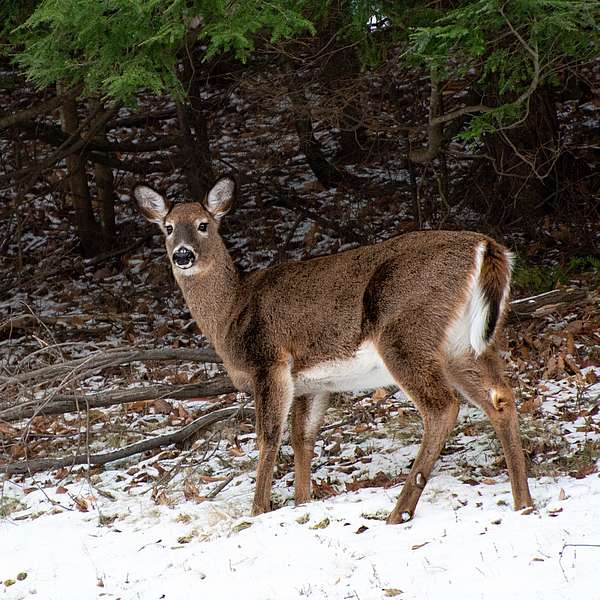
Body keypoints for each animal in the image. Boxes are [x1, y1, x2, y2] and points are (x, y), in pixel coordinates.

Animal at [132, 176, 536, 524]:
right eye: (168, 227)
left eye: (203, 225)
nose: (183, 255)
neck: (232, 313)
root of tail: (487, 247)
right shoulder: (311, 383)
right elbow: (303, 438)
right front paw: (301, 501)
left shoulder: (269, 361)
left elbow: (268, 435)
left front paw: (259, 509)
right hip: (465, 345)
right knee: (501, 397)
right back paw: (523, 503)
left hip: (406, 331)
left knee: (442, 407)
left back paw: (399, 512)